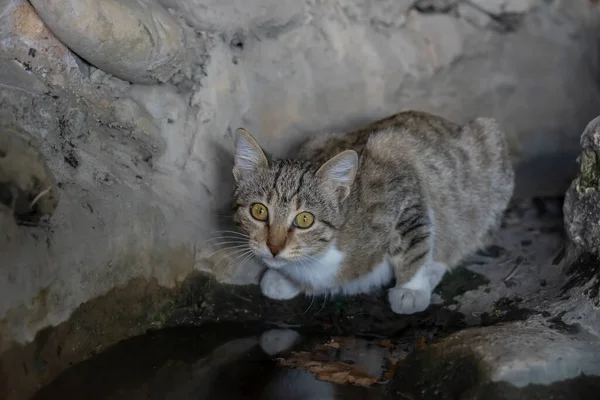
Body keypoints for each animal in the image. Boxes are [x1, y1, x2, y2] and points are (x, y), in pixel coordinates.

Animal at [232, 111, 512, 314]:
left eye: (304, 219)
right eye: (258, 211)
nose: (273, 248)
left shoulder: (401, 176)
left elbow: (415, 241)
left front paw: (411, 288)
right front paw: (284, 278)